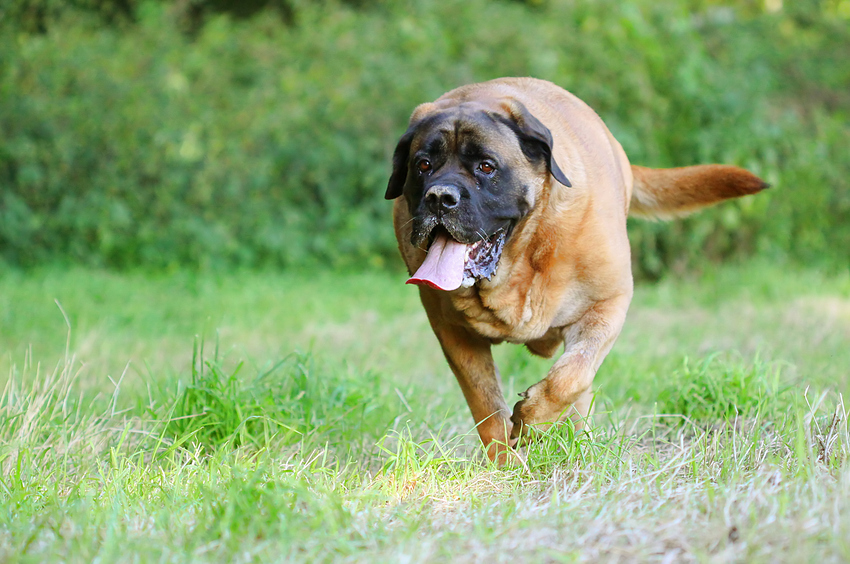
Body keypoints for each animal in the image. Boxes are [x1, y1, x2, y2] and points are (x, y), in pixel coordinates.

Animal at [382, 76, 760, 462]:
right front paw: (504, 462)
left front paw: (531, 422)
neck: (521, 261)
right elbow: (486, 405)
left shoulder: (607, 304)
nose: (439, 198)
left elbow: (569, 378)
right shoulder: (453, 333)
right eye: (423, 165)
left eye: (486, 166)